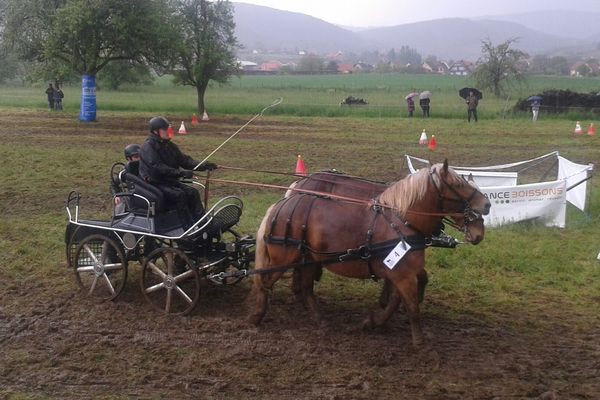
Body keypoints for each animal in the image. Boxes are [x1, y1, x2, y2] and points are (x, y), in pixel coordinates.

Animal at [247, 161, 488, 346]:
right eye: (458, 184)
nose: (486, 205)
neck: (402, 220)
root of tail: (282, 203)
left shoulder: (401, 271)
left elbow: (403, 295)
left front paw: (374, 321)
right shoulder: (401, 274)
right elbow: (409, 304)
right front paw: (419, 341)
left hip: (308, 259)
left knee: (304, 287)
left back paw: (318, 318)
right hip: (285, 257)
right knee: (265, 281)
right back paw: (257, 316)